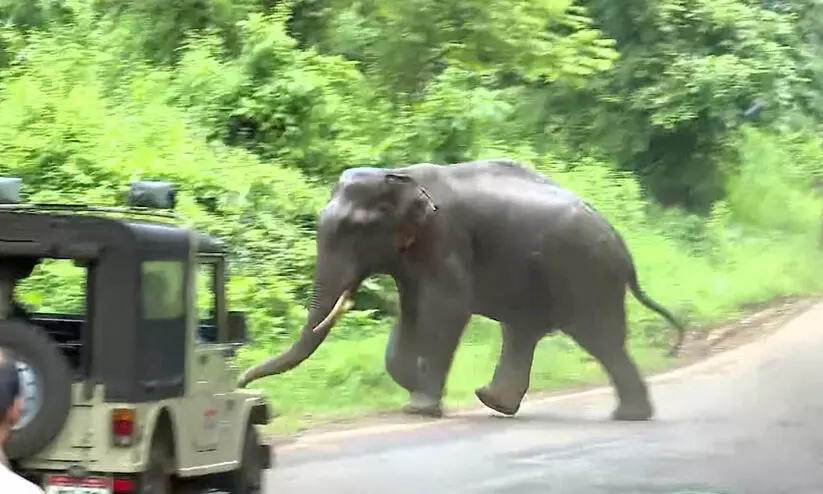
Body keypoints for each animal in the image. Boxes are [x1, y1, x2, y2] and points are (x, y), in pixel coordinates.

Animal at [238, 158, 686, 421]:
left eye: (353, 230)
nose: (243, 385)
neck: (399, 173)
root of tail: (624, 248)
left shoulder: (445, 236)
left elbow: (446, 309)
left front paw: (419, 406)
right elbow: (411, 310)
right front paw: (414, 389)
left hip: (587, 276)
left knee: (599, 340)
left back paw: (627, 416)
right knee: (523, 332)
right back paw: (494, 402)